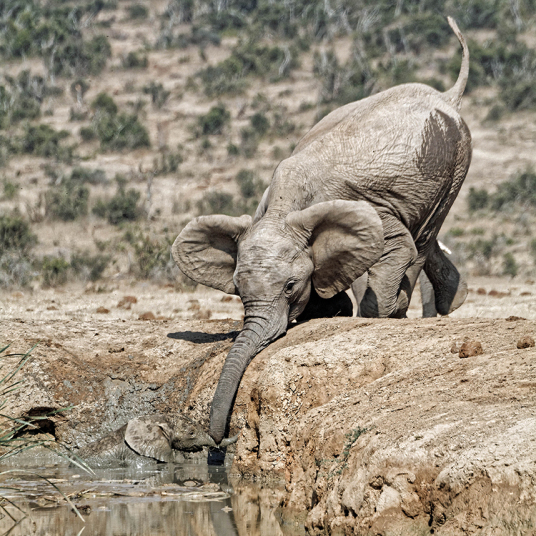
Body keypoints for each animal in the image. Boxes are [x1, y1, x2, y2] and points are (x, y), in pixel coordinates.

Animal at [174, 17, 472, 444]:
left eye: (289, 287)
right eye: (239, 290)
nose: (220, 437)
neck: (283, 207)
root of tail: (447, 95)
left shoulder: (369, 208)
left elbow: (395, 245)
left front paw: (374, 317)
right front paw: (332, 310)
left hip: (456, 160)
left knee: (421, 238)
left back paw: (406, 310)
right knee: (425, 240)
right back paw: (451, 302)